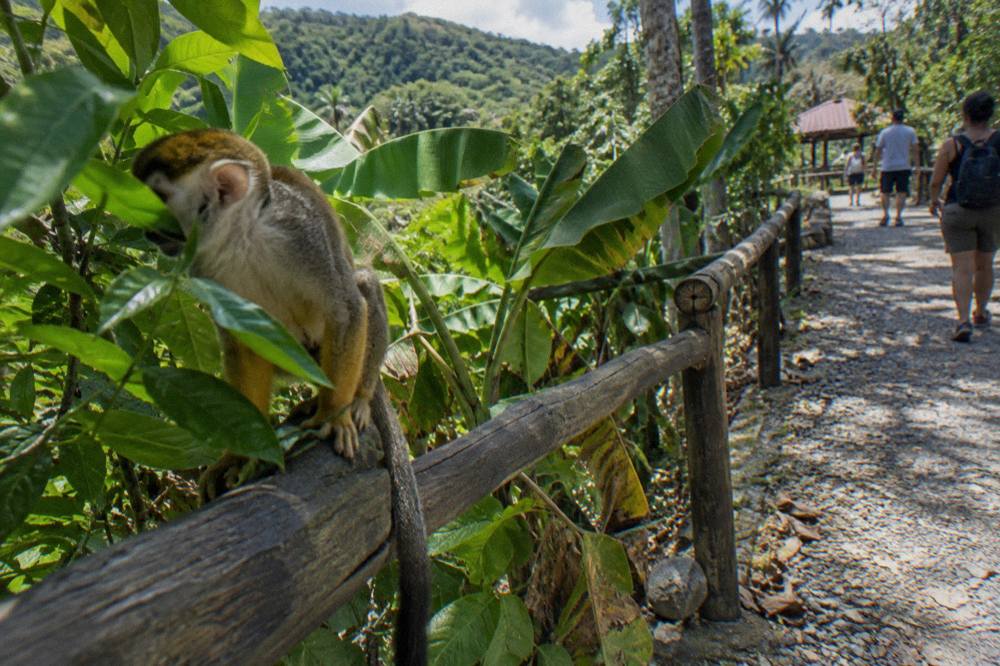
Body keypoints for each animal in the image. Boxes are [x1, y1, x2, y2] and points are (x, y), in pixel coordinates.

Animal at [132, 129, 429, 666]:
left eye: (158, 199)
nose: (146, 233)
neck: (245, 236)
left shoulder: (301, 234)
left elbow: (345, 307)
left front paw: (335, 416)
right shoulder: (208, 264)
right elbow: (242, 341)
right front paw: (236, 454)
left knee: (361, 284)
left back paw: (356, 397)